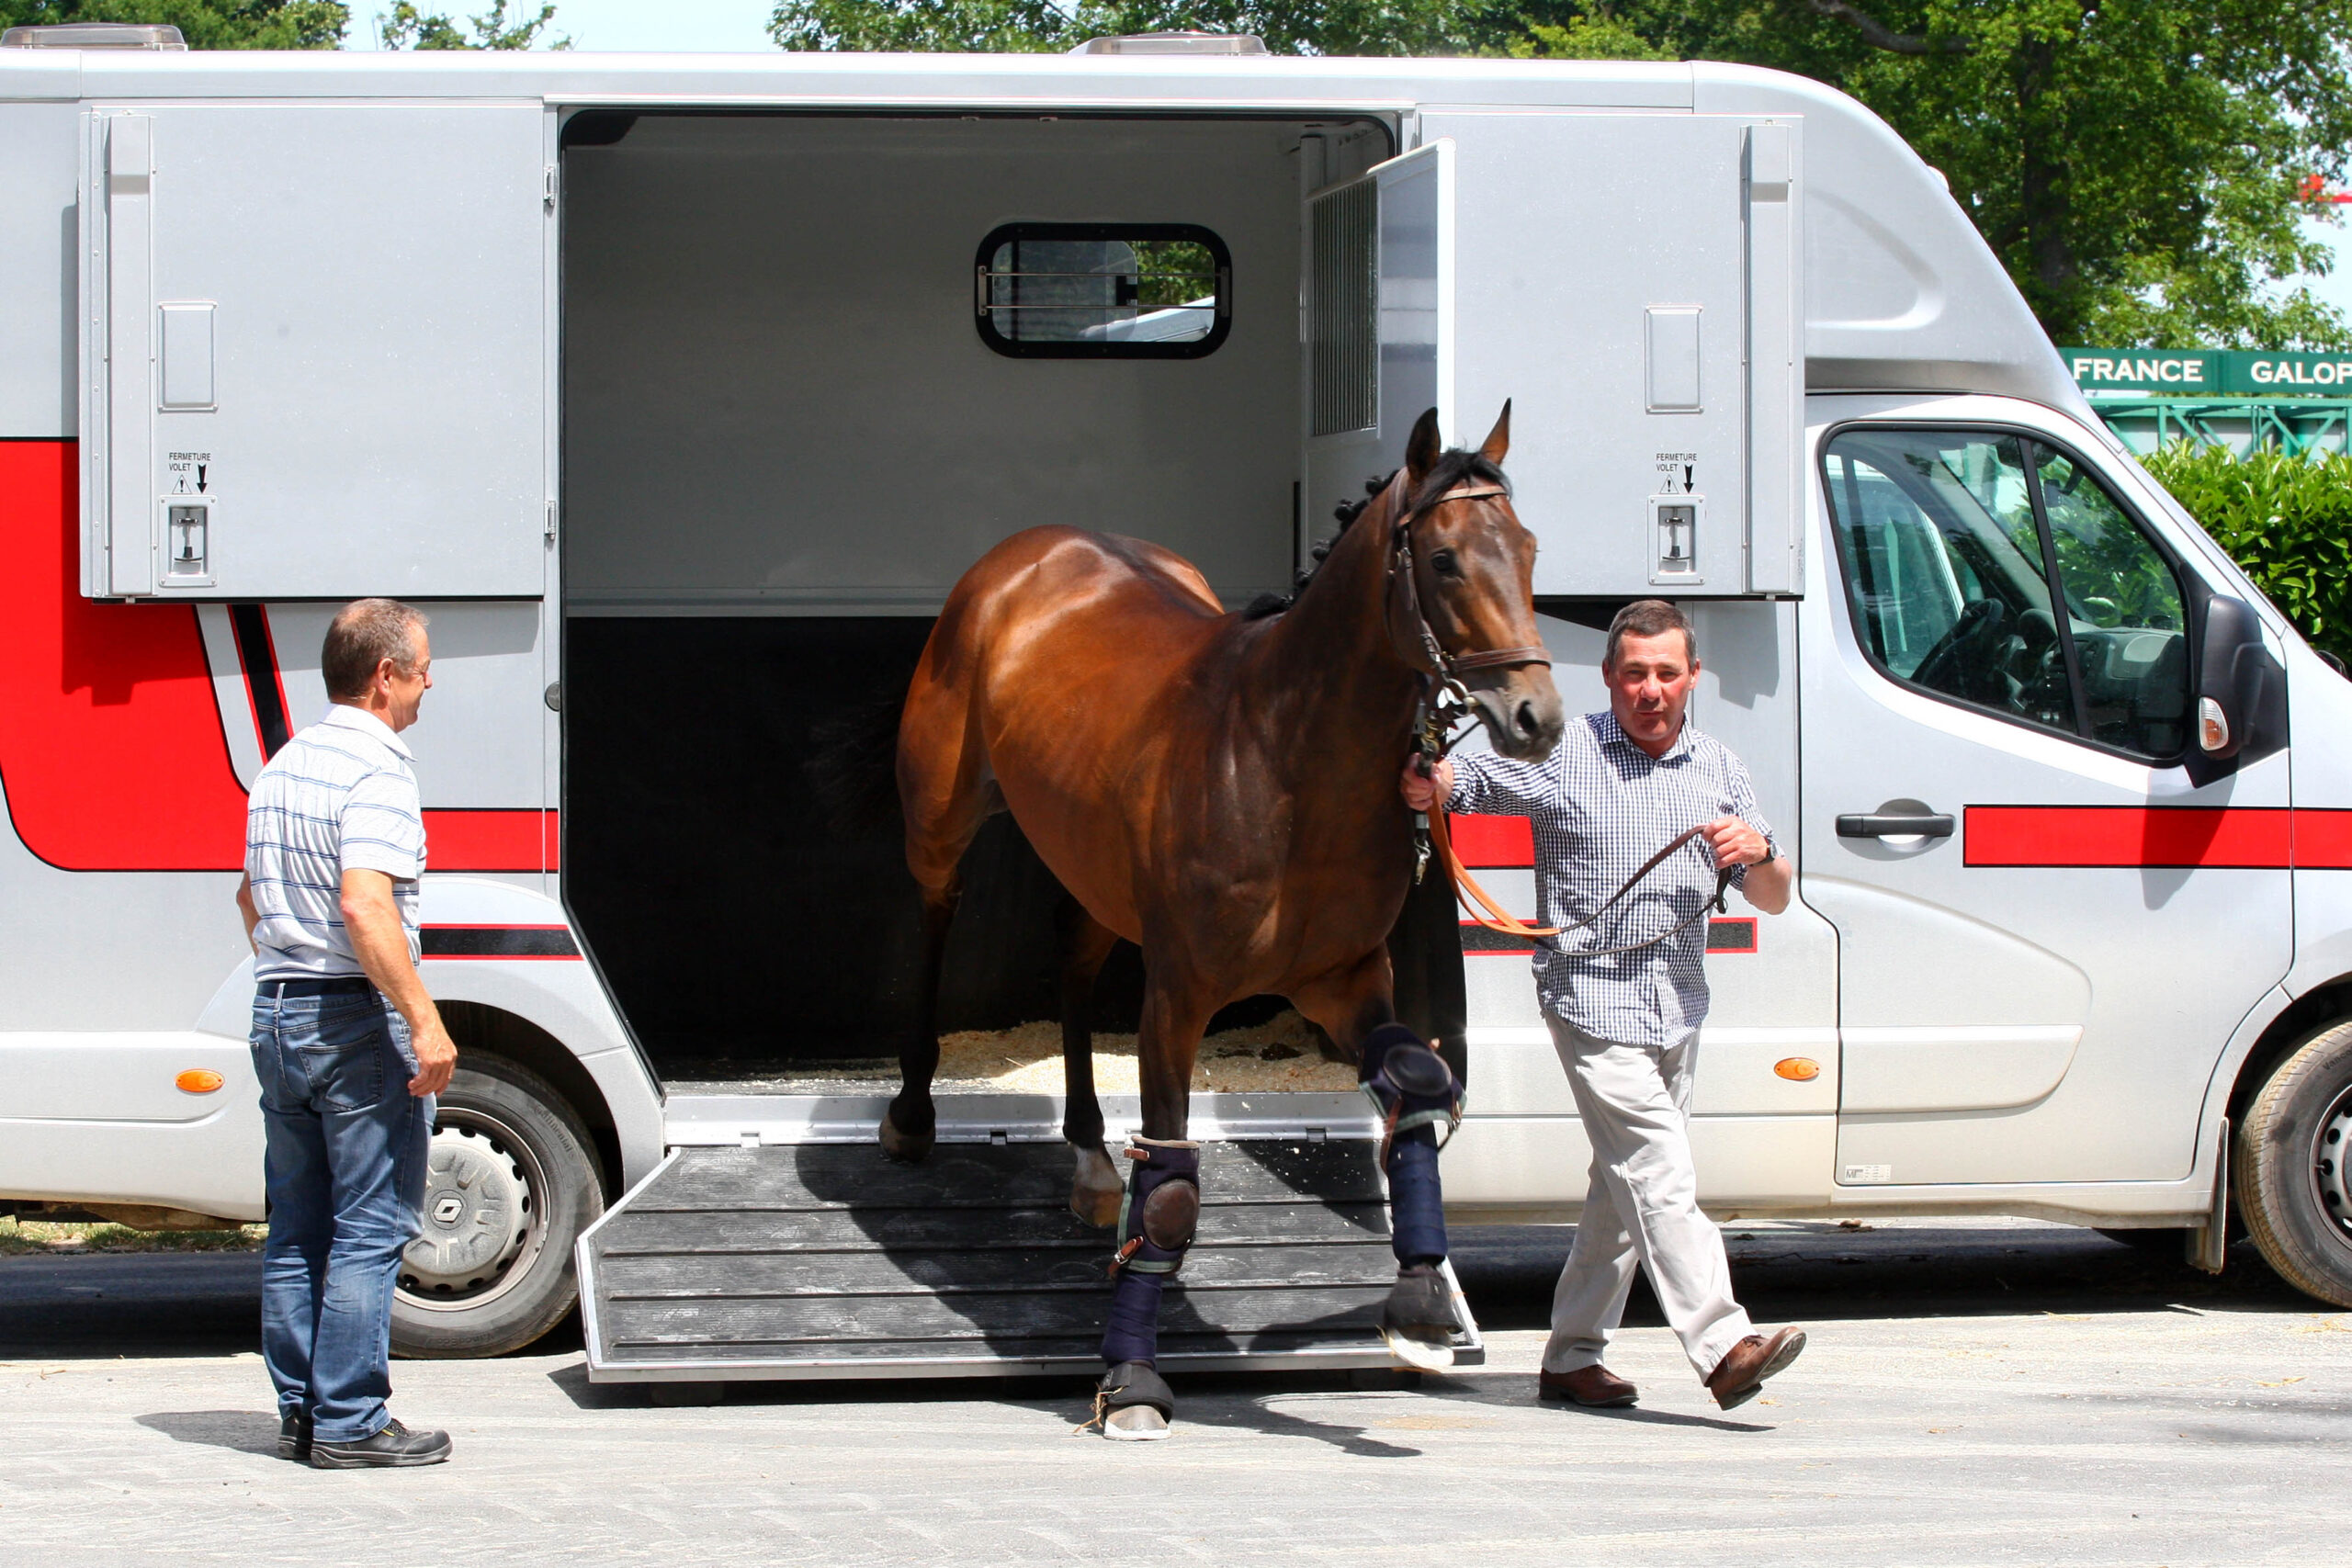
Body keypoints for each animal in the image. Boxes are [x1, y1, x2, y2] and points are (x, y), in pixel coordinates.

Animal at [885, 403, 1564, 1438]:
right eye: (1445, 559)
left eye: (1526, 548)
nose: (1537, 716)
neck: (1283, 760)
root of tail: (1028, 555)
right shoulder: (1179, 996)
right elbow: (1169, 1195)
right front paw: (1131, 1382)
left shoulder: (1345, 981)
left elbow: (1413, 1087)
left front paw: (1416, 1299)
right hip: (942, 817)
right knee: (933, 916)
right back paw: (914, 1113)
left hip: (1092, 869)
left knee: (1073, 965)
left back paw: (1088, 1158)